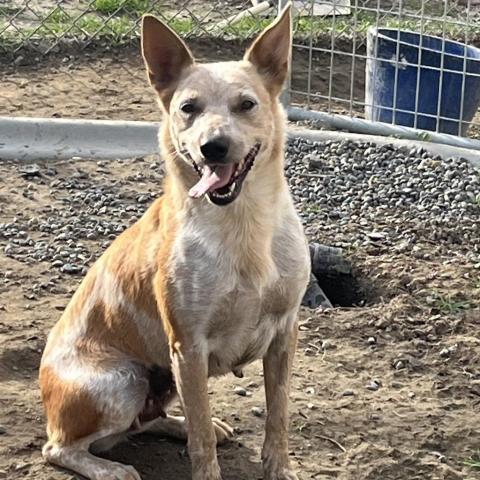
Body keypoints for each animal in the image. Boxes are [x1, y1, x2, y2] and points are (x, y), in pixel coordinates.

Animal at [37, 4, 310, 480]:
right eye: (188, 108)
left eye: (247, 104)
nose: (213, 147)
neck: (244, 226)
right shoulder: (188, 347)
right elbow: (202, 441)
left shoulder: (284, 332)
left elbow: (277, 417)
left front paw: (278, 469)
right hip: (121, 382)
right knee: (59, 447)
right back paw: (113, 469)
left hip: (154, 381)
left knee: (147, 422)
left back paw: (177, 425)